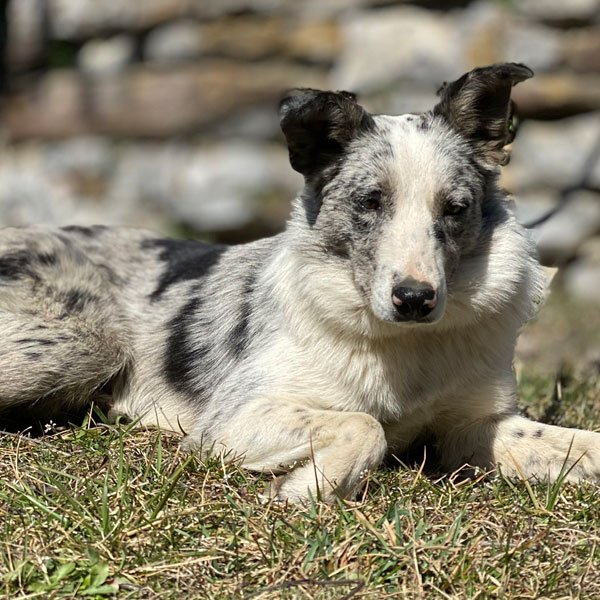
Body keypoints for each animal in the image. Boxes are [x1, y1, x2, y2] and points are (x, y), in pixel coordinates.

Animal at [1, 63, 600, 502]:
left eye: (455, 209)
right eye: (370, 202)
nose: (414, 300)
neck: (402, 347)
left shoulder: (475, 426)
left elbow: (574, 444)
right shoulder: (234, 417)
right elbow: (364, 425)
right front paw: (309, 488)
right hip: (85, 345)